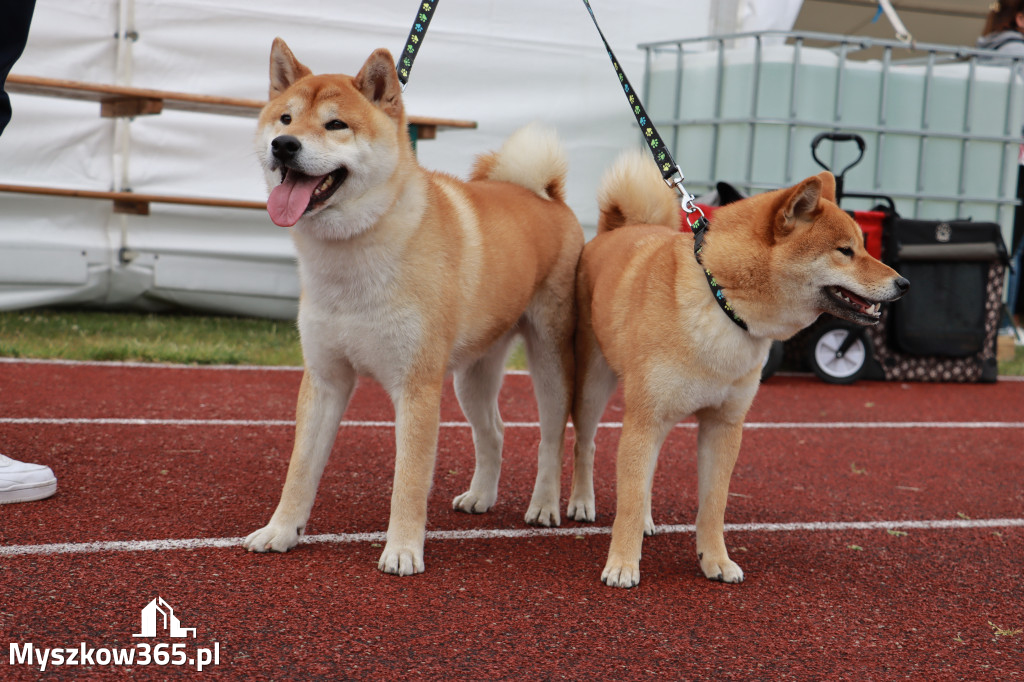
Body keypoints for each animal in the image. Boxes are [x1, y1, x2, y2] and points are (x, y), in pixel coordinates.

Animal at [241, 39, 585, 573]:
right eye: (285, 118)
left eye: (335, 124)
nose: (284, 146)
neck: (351, 260)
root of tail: (547, 197)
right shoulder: (325, 378)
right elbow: (299, 470)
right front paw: (281, 530)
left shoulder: (417, 386)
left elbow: (409, 480)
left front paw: (402, 550)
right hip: (472, 375)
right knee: (495, 431)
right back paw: (480, 496)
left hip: (549, 362)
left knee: (551, 438)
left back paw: (545, 506)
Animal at [569, 148, 913, 585]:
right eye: (845, 251)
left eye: (864, 247)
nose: (904, 284)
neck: (721, 300)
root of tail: (615, 231)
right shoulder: (646, 417)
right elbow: (627, 501)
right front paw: (623, 565)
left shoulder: (724, 425)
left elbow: (713, 505)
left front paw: (715, 561)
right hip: (594, 386)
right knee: (586, 445)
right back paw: (581, 502)